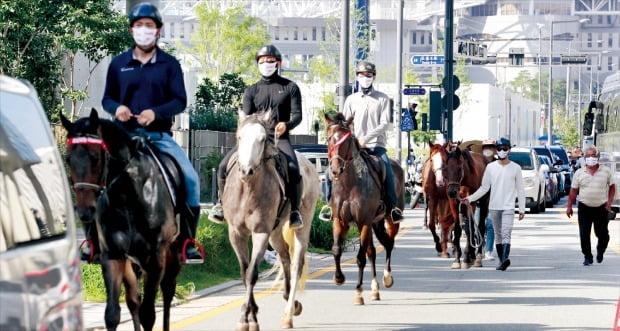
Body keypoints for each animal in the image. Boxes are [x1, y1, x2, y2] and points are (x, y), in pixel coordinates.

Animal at [322, 113, 404, 306]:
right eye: (329, 139)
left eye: (347, 140)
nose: (335, 170)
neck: (349, 184)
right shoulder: (340, 221)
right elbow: (336, 249)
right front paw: (339, 278)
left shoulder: (364, 222)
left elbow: (360, 258)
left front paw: (358, 292)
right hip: (375, 223)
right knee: (373, 251)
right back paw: (374, 289)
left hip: (388, 220)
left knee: (389, 243)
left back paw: (387, 278)